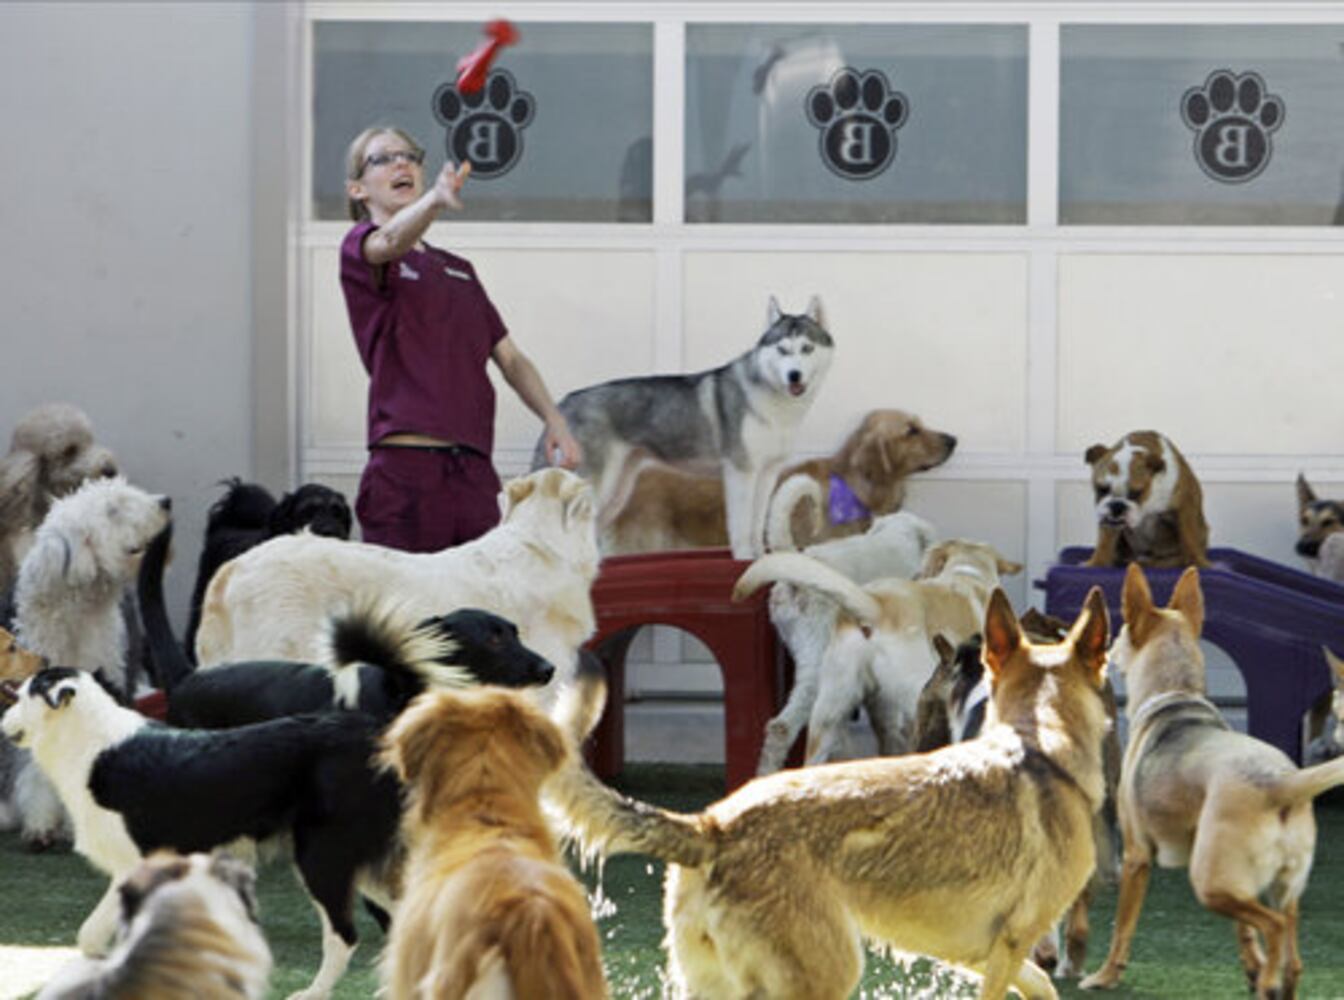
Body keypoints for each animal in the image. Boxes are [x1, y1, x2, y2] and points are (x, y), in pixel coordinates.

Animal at [537, 295, 834, 559]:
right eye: (782, 350)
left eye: (807, 348)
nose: (794, 375)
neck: (775, 404)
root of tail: (564, 402)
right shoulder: (741, 472)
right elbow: (741, 525)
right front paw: (744, 558)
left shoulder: (768, 472)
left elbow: (757, 522)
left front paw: (761, 557)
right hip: (597, 486)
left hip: (617, 492)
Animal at [550, 588, 1113, 999]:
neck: (1038, 737)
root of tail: (712, 827)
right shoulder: (1012, 942)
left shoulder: (974, 949)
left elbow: (1040, 985)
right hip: (825, 977)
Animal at [1080, 564, 1344, 998]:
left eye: (1119, 635)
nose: (1107, 653)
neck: (1176, 693)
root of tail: (1280, 784)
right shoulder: (1239, 880)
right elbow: (1243, 931)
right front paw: (1251, 967)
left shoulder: (1135, 855)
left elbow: (1123, 925)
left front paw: (1104, 976)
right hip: (1278, 887)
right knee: (1290, 953)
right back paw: (1273, 979)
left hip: (1208, 881)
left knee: (1273, 926)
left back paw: (1267, 981)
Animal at [1082, 430, 1209, 568]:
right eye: (1102, 489)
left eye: (1136, 493)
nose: (1117, 505)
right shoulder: (1108, 518)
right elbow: (1105, 540)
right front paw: (1097, 562)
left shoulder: (1185, 505)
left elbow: (1189, 535)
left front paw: (1197, 561)